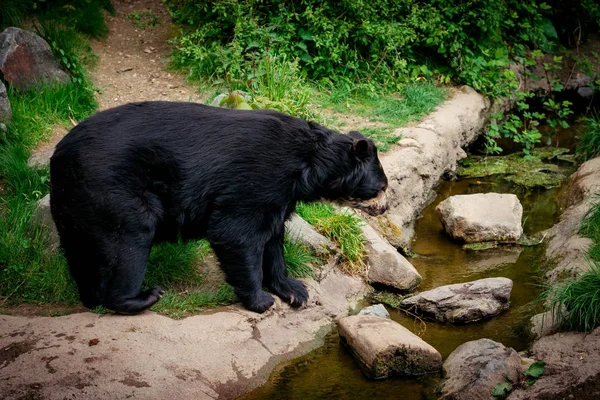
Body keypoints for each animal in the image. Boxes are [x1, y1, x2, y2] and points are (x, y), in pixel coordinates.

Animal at [51, 101, 390, 314]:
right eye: (382, 188)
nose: (385, 208)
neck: (307, 165)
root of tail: (58, 157)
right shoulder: (258, 179)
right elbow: (236, 233)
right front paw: (262, 301)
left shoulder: (279, 197)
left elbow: (273, 240)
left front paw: (295, 291)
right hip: (114, 190)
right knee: (129, 240)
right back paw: (142, 297)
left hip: (76, 205)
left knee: (82, 251)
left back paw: (91, 297)